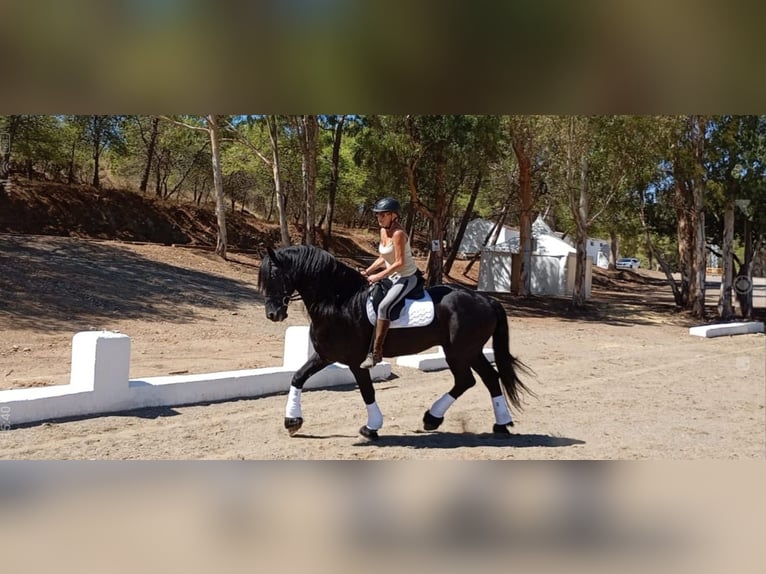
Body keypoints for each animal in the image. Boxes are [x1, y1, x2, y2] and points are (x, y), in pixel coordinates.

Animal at [258, 244, 533, 440]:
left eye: (275, 276)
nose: (273, 314)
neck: (339, 302)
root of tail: (486, 300)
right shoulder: (325, 355)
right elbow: (298, 377)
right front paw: (292, 421)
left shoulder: (356, 362)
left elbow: (367, 391)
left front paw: (371, 427)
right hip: (472, 351)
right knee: (490, 378)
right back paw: (500, 424)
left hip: (459, 352)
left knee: (467, 380)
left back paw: (432, 418)